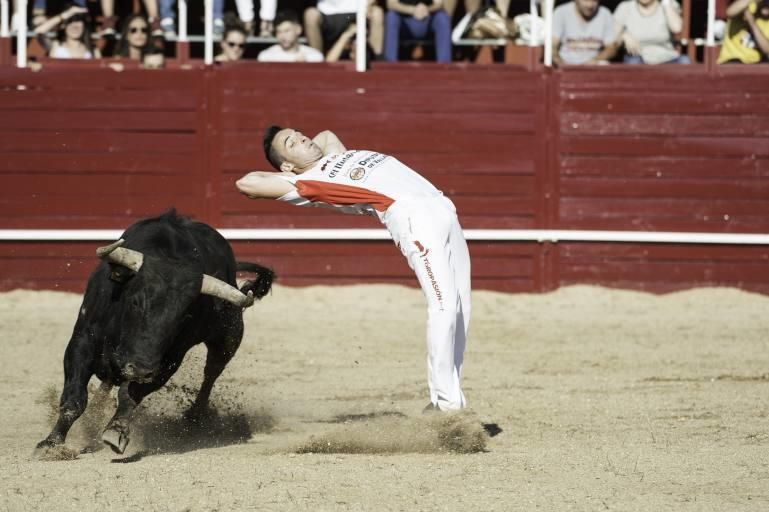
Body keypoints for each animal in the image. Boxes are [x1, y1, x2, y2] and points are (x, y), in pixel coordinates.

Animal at [36, 211, 276, 456]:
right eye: (135, 301)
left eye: (184, 316)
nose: (140, 369)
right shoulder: (81, 341)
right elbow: (74, 399)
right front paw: (51, 443)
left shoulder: (166, 365)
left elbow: (129, 395)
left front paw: (116, 430)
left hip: (229, 339)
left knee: (211, 373)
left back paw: (193, 418)